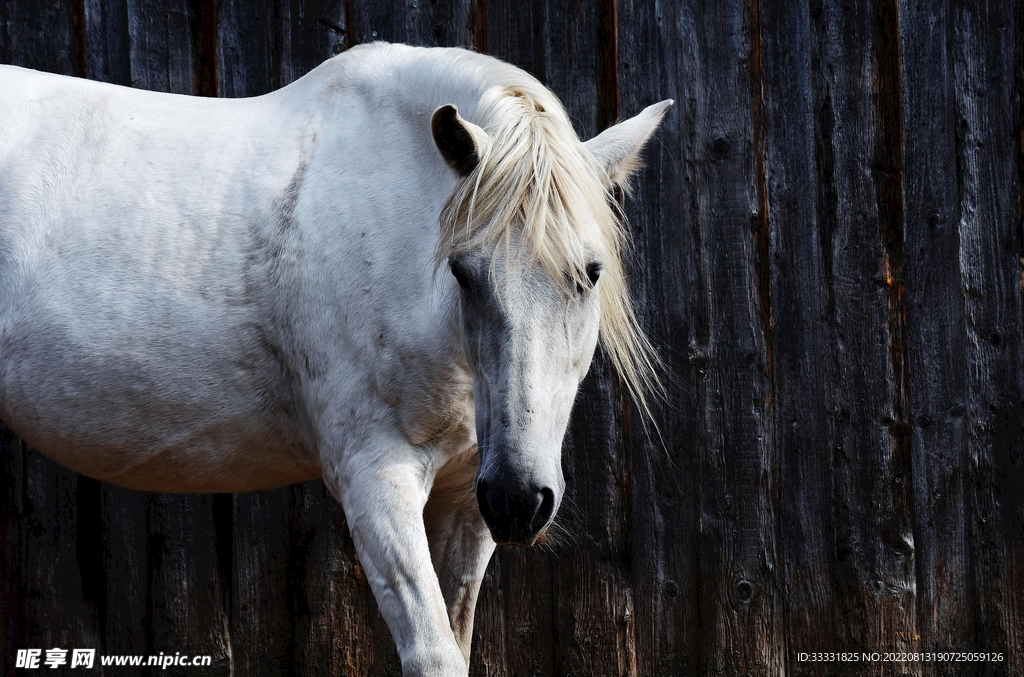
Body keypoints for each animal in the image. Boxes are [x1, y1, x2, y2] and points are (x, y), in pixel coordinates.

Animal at [0, 42, 670, 676]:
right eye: (462, 272)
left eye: (590, 273)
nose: (518, 499)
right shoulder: (375, 481)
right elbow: (434, 654)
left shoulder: (465, 501)